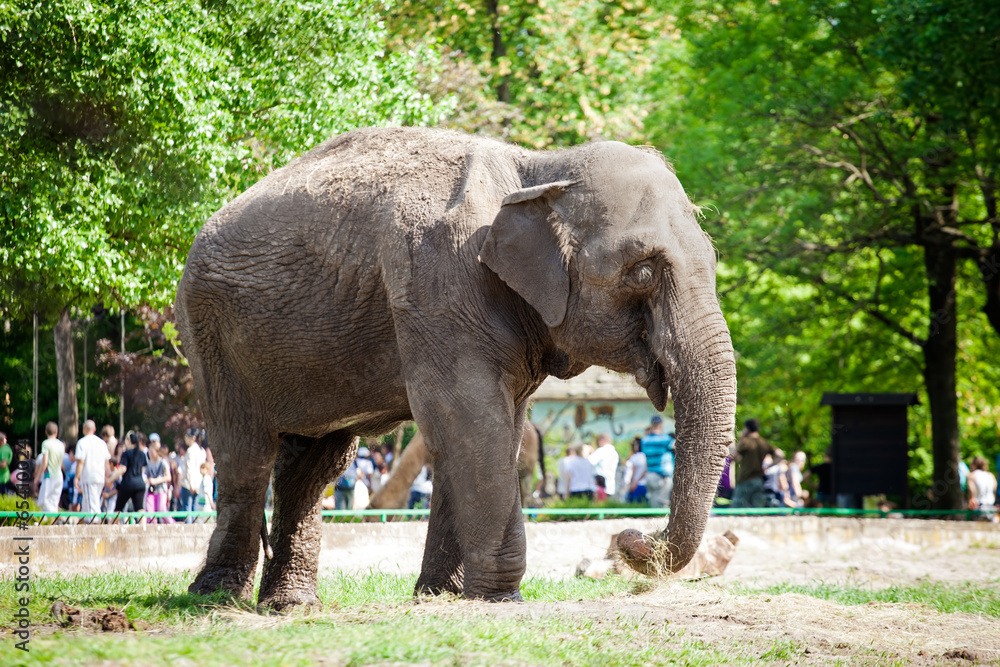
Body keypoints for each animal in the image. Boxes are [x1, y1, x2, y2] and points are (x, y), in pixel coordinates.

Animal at [175, 126, 737, 609]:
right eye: (642, 272)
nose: (626, 536)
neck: (537, 168)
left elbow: (488, 428)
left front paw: (442, 596)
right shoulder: (437, 281)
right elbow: (469, 418)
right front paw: (499, 598)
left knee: (315, 464)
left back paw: (289, 605)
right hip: (209, 331)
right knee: (245, 454)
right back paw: (216, 599)